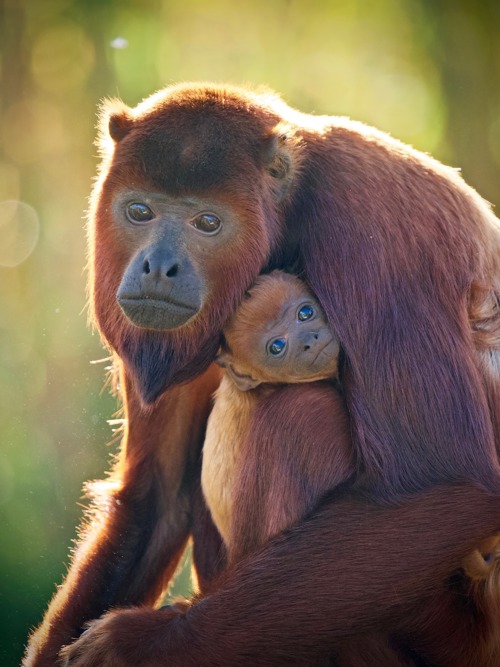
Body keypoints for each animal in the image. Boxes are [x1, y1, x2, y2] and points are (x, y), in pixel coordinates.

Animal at [23, 83, 500, 667]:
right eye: (139, 210)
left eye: (208, 223)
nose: (158, 266)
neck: (289, 210)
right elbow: (154, 498)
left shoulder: (375, 234)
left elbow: (441, 485)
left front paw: (133, 646)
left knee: (293, 412)